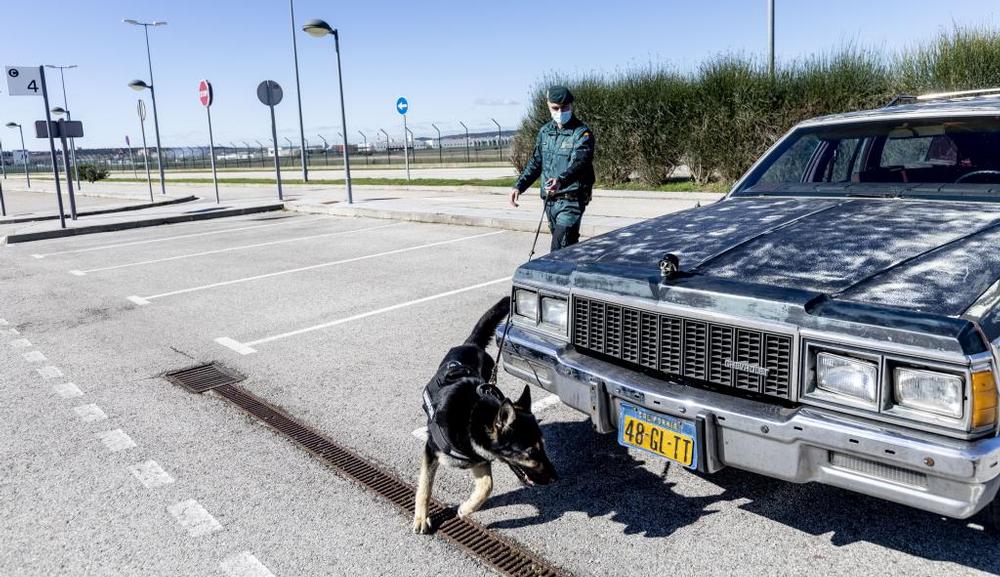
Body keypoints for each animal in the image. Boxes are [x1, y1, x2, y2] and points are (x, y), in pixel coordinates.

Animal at [410, 300, 560, 532]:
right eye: (529, 453)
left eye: (543, 447)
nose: (555, 478)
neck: (472, 418)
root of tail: (472, 346)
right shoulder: (430, 451)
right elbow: (425, 487)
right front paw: (421, 517)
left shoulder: (479, 458)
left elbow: (487, 486)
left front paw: (466, 508)